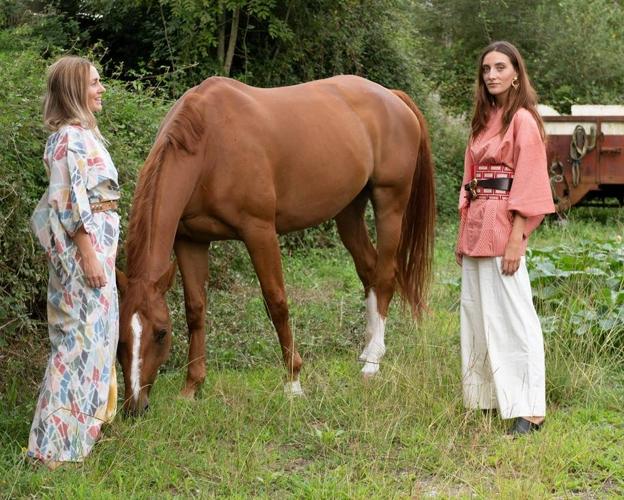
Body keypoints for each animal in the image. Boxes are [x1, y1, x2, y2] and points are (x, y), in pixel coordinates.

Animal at [116, 74, 434, 414]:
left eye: (161, 333)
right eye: (119, 337)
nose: (135, 407)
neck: (209, 145)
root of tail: (392, 96)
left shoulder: (260, 232)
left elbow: (276, 302)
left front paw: (293, 382)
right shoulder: (191, 241)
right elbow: (195, 310)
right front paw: (192, 387)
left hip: (390, 203)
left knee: (385, 276)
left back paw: (372, 362)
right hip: (349, 211)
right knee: (369, 272)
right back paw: (368, 347)